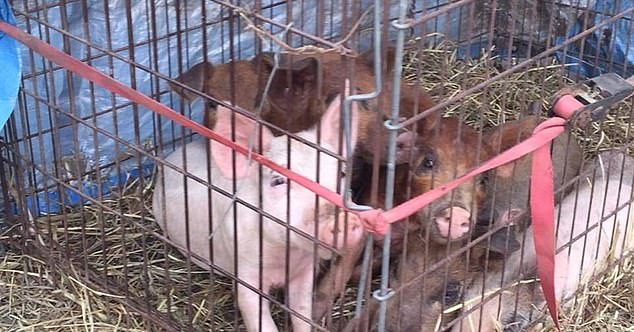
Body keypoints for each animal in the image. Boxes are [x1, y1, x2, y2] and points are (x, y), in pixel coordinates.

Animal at [150, 87, 362, 332]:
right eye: (278, 181)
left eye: (342, 174)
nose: (344, 218)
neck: (286, 255)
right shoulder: (246, 268)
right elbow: (254, 312)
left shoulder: (305, 271)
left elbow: (301, 311)